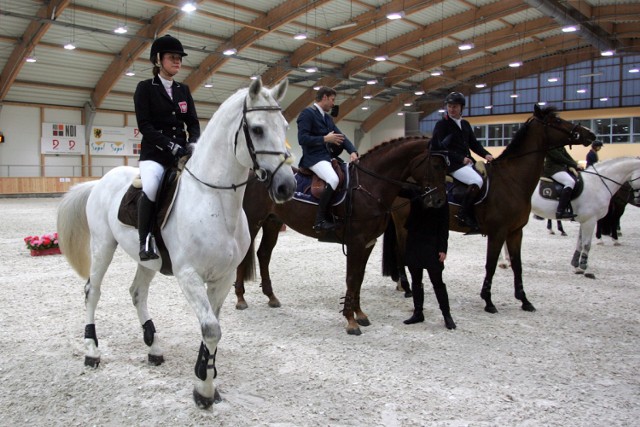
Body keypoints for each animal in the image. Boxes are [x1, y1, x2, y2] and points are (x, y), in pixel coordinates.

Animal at [56, 78, 296, 410]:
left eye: (285, 126)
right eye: (258, 129)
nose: (287, 186)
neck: (215, 201)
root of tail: (101, 181)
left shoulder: (222, 279)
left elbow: (213, 326)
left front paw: (206, 377)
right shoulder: (188, 275)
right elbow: (211, 329)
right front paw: (204, 389)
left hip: (146, 259)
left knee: (137, 293)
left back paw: (154, 347)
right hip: (103, 246)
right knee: (93, 291)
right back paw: (92, 351)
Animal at [232, 137, 448, 334]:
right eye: (436, 165)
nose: (439, 201)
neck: (370, 185)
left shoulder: (368, 243)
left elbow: (359, 278)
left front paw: (360, 314)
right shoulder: (356, 242)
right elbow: (352, 278)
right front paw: (351, 321)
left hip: (273, 222)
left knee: (264, 254)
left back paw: (271, 297)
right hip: (253, 221)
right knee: (245, 256)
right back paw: (241, 299)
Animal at [380, 105, 596, 314]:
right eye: (557, 121)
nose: (590, 135)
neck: (512, 180)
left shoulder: (515, 232)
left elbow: (517, 265)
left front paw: (524, 300)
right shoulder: (497, 233)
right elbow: (490, 265)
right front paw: (488, 301)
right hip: (404, 224)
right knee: (400, 251)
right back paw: (406, 287)